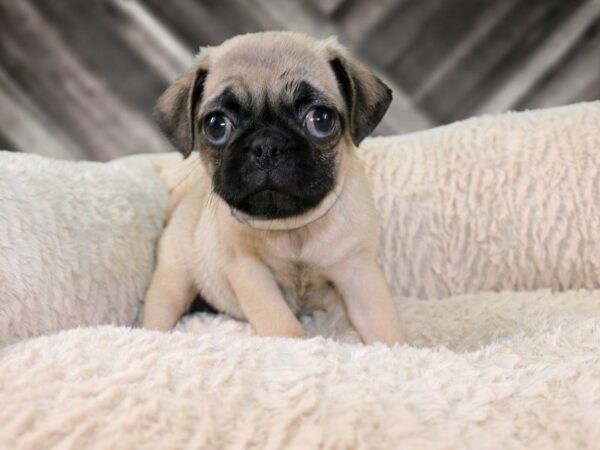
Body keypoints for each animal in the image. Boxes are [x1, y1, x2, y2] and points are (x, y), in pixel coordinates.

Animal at [143, 31, 406, 346]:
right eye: (216, 125)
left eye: (321, 120)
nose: (266, 146)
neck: (293, 228)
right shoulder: (250, 273)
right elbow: (282, 324)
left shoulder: (358, 270)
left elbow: (383, 327)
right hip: (172, 280)